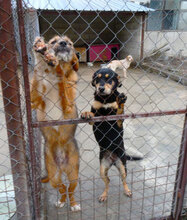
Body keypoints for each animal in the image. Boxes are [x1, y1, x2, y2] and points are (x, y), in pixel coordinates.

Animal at [30, 35, 80, 211]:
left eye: (70, 43)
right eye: (53, 41)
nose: (63, 44)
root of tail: (61, 164)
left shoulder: (68, 105)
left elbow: (63, 82)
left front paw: (56, 65)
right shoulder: (34, 101)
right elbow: (38, 75)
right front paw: (39, 54)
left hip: (73, 174)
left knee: (71, 189)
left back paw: (73, 204)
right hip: (53, 176)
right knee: (62, 188)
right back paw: (61, 201)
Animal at [81, 68, 141, 202]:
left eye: (109, 79)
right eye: (97, 78)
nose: (101, 88)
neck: (106, 99)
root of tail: (113, 160)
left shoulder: (119, 122)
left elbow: (119, 111)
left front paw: (120, 102)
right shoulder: (95, 119)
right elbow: (91, 115)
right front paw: (86, 113)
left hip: (123, 166)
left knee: (124, 179)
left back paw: (127, 190)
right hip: (103, 168)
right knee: (107, 181)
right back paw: (104, 195)